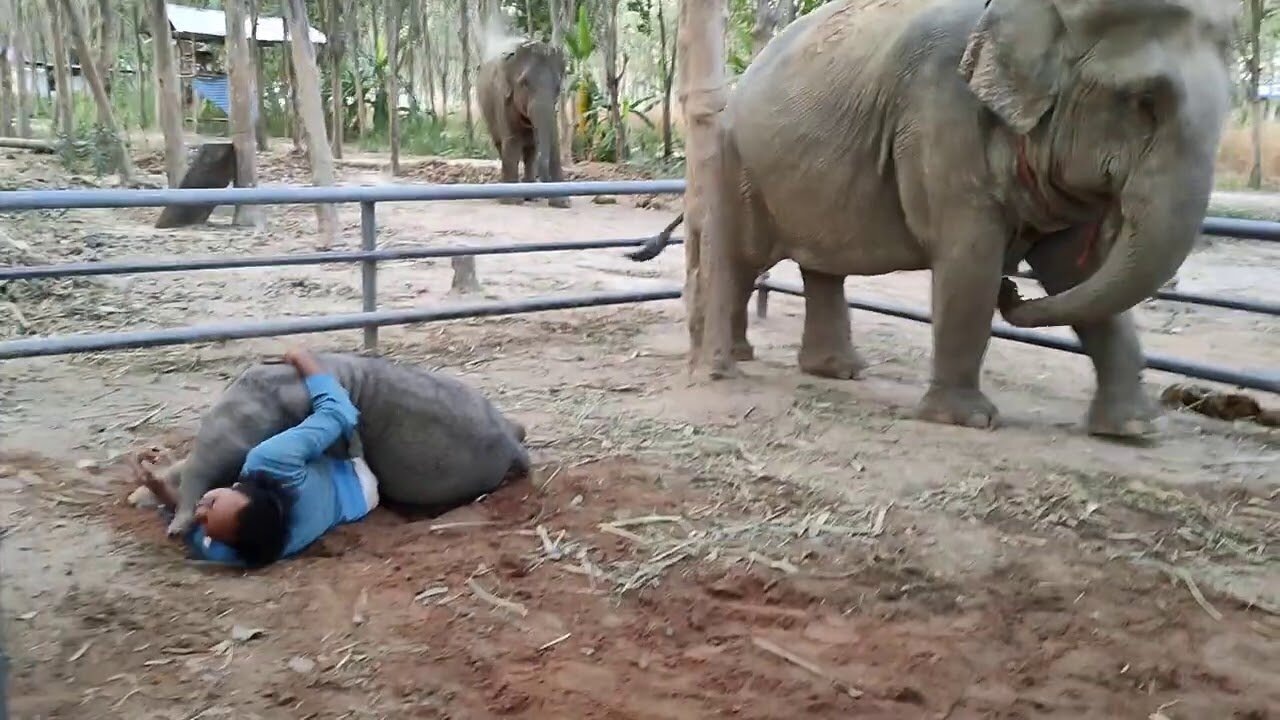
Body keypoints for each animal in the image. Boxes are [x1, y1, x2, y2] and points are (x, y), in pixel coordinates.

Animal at [476, 39, 570, 207]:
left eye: (558, 87)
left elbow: (548, 141)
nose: (549, 194)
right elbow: (512, 142)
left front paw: (563, 202)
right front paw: (512, 201)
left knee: (530, 150)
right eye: (524, 83)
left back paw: (532, 197)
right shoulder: (503, 98)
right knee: (501, 145)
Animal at [634, 0, 1233, 438]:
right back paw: (740, 357)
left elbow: (1075, 272)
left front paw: (1136, 429)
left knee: (821, 264)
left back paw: (838, 371)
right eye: (1143, 100)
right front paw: (967, 421)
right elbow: (969, 257)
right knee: (745, 259)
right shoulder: (940, 115)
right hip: (739, 167)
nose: (1012, 291)